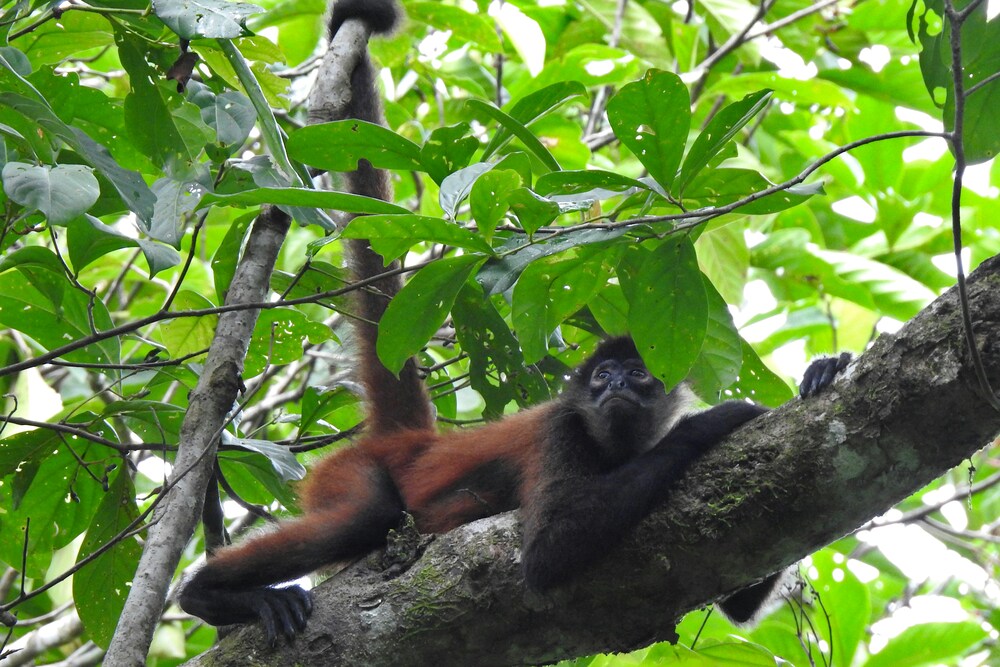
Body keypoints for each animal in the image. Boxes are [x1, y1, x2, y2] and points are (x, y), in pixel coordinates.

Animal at [176, 0, 848, 648]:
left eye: (637, 374)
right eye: (601, 377)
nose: (615, 387)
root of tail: (413, 441)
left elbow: (738, 600)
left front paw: (822, 372)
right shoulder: (561, 429)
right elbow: (548, 554)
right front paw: (718, 420)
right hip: (349, 472)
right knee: (364, 516)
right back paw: (206, 595)